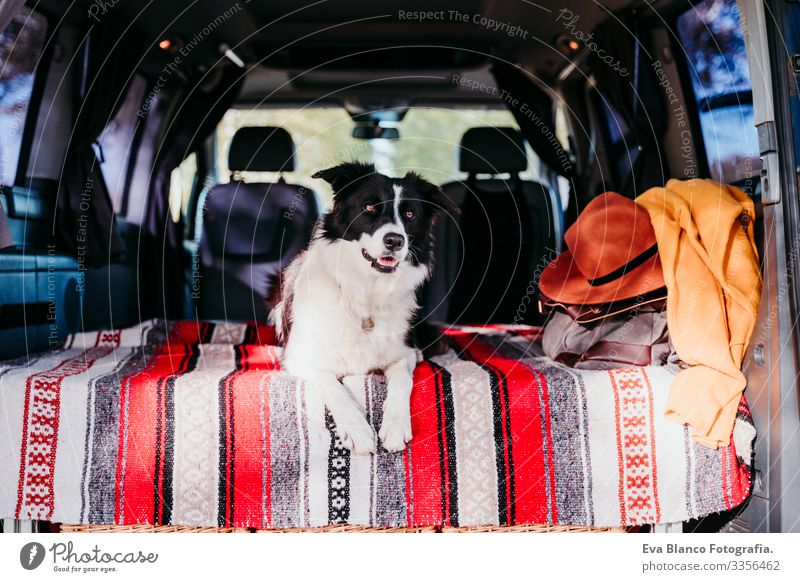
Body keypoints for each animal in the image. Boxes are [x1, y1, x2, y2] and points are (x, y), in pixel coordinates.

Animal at [270, 163, 454, 456]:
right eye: (369, 207)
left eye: (410, 213)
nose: (395, 240)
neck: (366, 292)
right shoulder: (300, 357)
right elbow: (333, 385)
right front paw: (357, 430)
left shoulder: (406, 352)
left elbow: (402, 379)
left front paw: (395, 425)